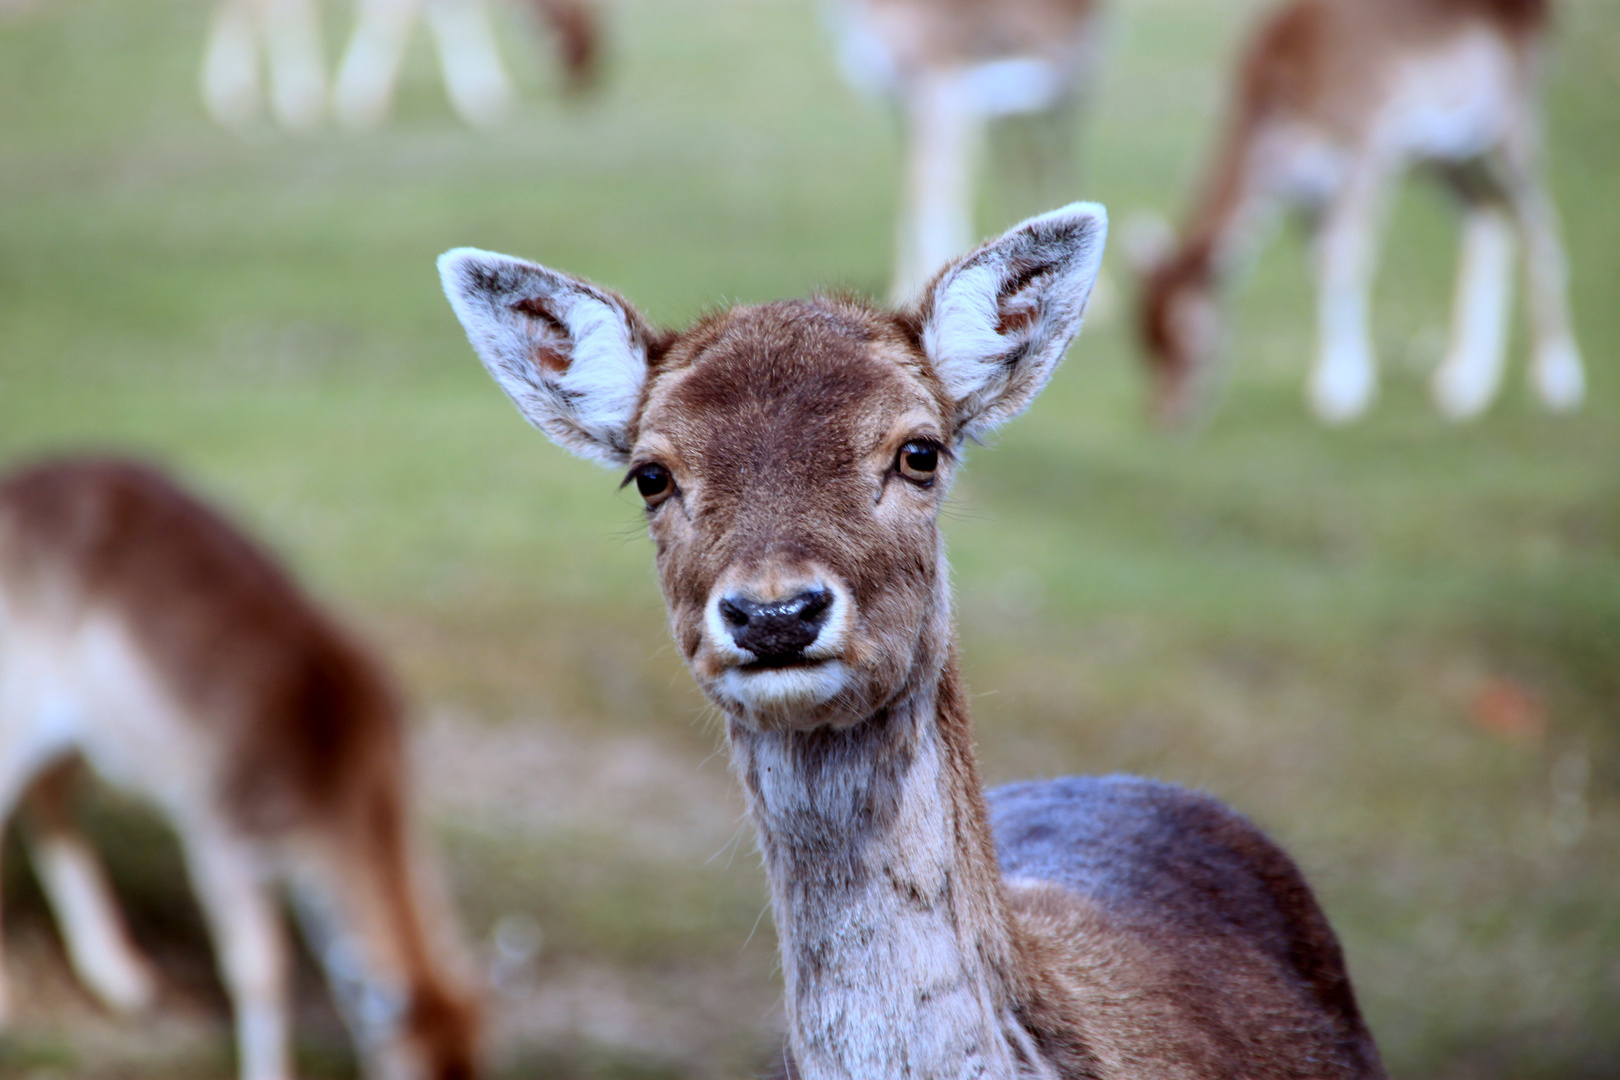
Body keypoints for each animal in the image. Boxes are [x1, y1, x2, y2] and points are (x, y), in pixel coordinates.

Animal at [0, 456, 479, 1080]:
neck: (334, 774)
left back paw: (125, 980)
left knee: (49, 800)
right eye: (411, 1071)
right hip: (19, 694)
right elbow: (259, 969)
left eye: (485, 1059)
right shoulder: (219, 825)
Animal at [829, 1, 1108, 304]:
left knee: (1056, 159)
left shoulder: (941, 82)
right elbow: (913, 183)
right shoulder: (904, 100)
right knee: (1030, 160)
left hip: (1064, 85)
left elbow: (933, 182)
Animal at [1140, 0, 1581, 427]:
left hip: (1513, 113)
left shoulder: (1369, 139)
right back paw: (1464, 386)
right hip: (1448, 152)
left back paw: (1557, 383)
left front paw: (1340, 394)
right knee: (1488, 216)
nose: (1168, 416)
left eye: (1187, 337)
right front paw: (1337, 379)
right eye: (1141, 339)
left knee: (1539, 221)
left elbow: (1345, 261)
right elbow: (1321, 264)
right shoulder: (1310, 194)